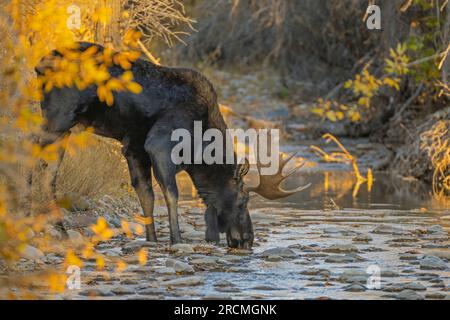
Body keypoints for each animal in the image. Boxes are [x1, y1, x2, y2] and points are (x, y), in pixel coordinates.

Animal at [30, 41, 306, 249]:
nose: (248, 240)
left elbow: (146, 195)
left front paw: (152, 239)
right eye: (243, 199)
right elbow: (170, 193)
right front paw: (176, 239)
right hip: (58, 118)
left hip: (64, 129)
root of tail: (40, 65)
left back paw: (59, 229)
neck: (199, 150)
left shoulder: (134, 147)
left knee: (49, 172)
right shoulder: (159, 144)